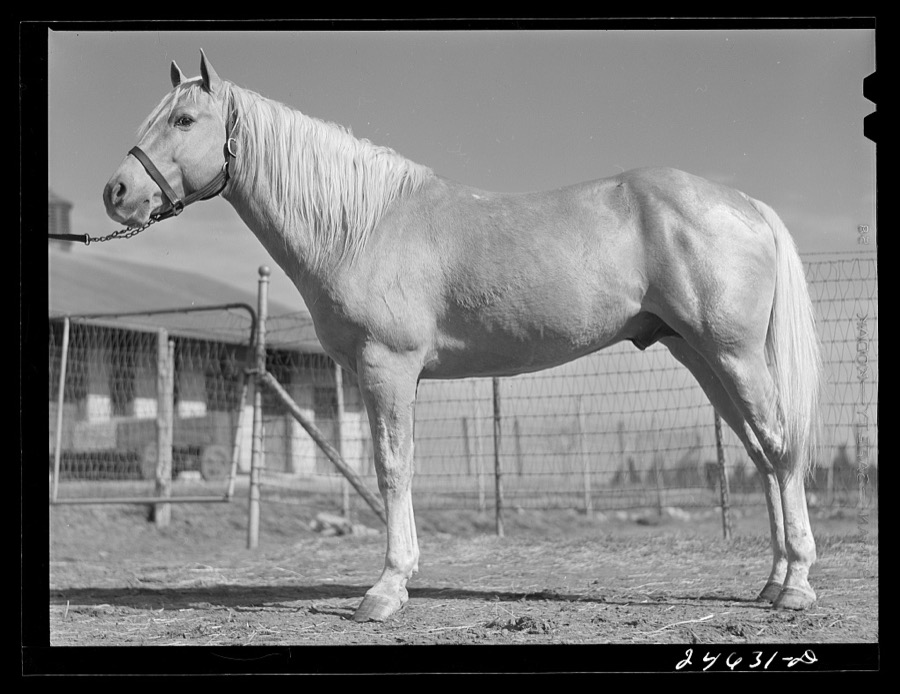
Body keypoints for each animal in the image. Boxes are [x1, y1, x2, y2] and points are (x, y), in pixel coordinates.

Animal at [103, 50, 822, 623]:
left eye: (183, 121)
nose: (117, 191)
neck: (364, 226)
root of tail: (747, 206)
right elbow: (397, 467)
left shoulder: (388, 367)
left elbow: (392, 468)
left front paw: (385, 591)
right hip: (700, 355)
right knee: (762, 454)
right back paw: (772, 582)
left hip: (731, 355)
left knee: (780, 447)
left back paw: (795, 586)